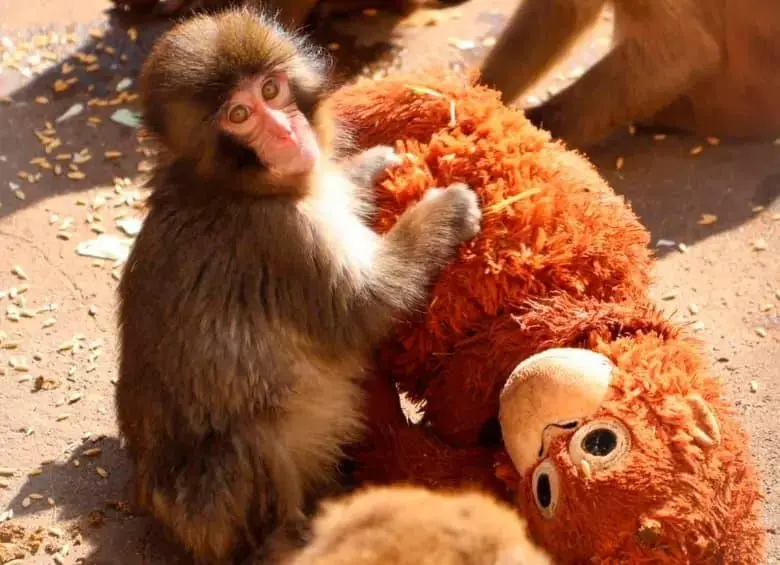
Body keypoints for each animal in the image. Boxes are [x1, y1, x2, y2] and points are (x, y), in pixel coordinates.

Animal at [115, 7, 481, 565]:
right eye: (239, 115)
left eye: (271, 90)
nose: (287, 132)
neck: (236, 187)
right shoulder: (282, 238)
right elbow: (364, 308)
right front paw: (446, 211)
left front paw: (369, 167)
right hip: (209, 514)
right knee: (248, 440)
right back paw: (292, 537)